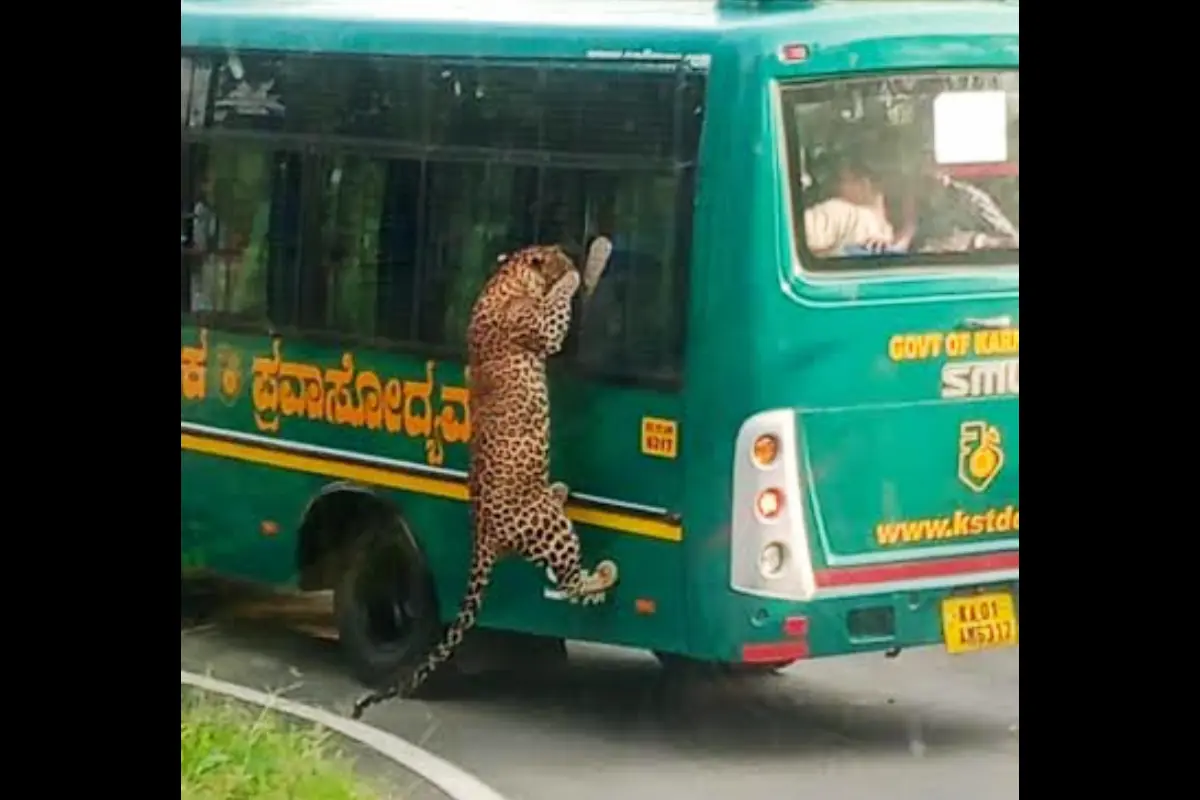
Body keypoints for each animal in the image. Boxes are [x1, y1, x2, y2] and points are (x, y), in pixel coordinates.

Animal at [350, 244, 619, 719]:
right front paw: (575, 273)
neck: (505, 279)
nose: (569, 253)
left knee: (564, 581)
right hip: (552, 529)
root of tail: (483, 535)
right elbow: (557, 310)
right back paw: (603, 572)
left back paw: (562, 496)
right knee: (568, 583)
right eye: (556, 253)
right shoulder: (542, 329)